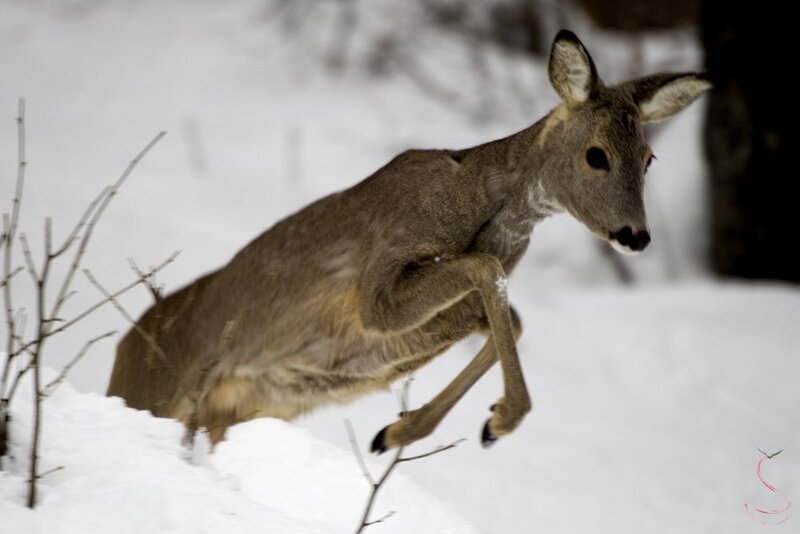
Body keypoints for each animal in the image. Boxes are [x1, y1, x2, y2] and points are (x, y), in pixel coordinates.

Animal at [107, 30, 711, 451]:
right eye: (596, 155)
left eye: (649, 158)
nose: (636, 236)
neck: (481, 205)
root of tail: (123, 350)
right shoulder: (379, 283)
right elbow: (486, 270)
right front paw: (500, 419)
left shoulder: (427, 324)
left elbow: (510, 316)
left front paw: (412, 431)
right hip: (153, 390)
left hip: (232, 412)